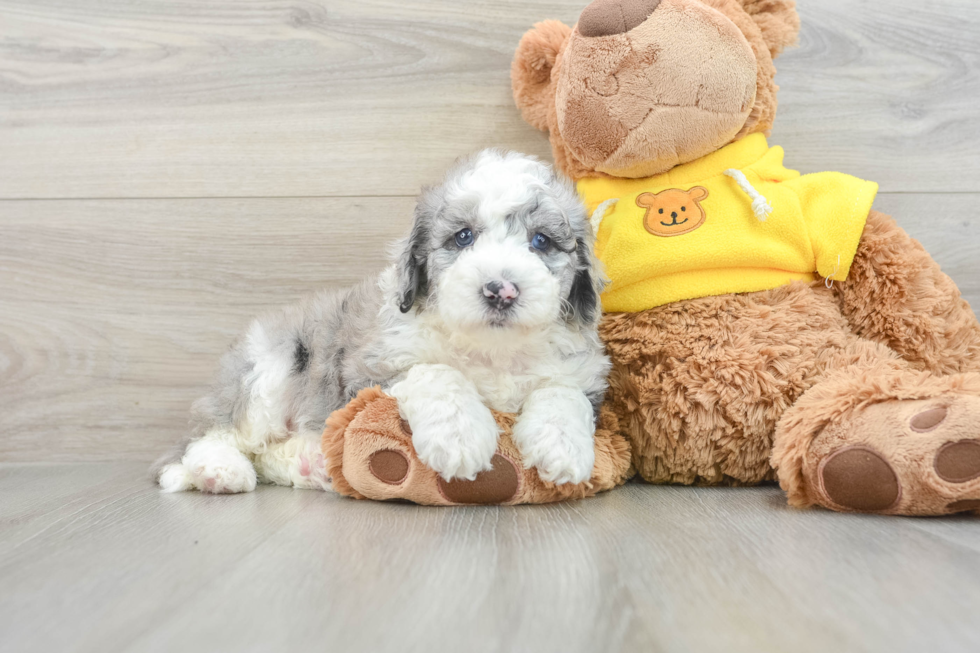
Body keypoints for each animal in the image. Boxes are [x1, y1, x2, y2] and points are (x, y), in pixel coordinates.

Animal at [156, 150, 608, 492]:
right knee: (215, 433)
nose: (501, 290)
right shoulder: (373, 368)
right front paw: (460, 437)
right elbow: (437, 372)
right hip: (270, 368)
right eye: (463, 237)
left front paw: (563, 449)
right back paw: (219, 470)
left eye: (541, 241)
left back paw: (312, 464)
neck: (491, 349)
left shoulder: (579, 372)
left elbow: (563, 393)